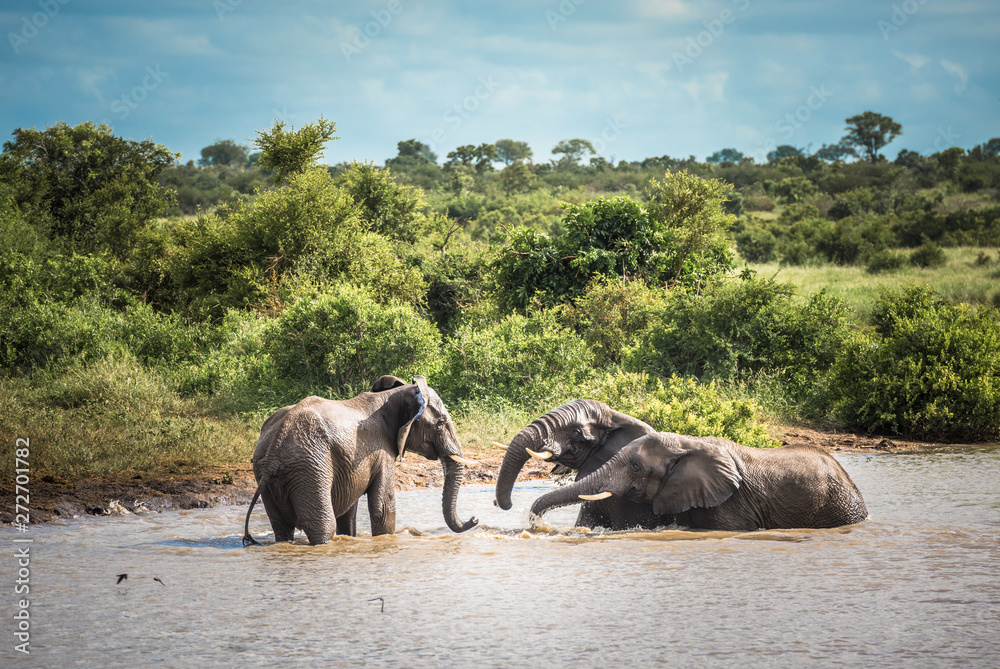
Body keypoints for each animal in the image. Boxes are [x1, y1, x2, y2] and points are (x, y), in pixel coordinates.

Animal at [242, 375, 479, 546]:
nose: (475, 519)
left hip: (268, 472)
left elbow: (350, 509)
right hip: (309, 468)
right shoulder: (381, 450)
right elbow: (383, 506)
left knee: (281, 527)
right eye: (441, 423)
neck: (394, 395)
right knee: (323, 525)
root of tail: (274, 450)